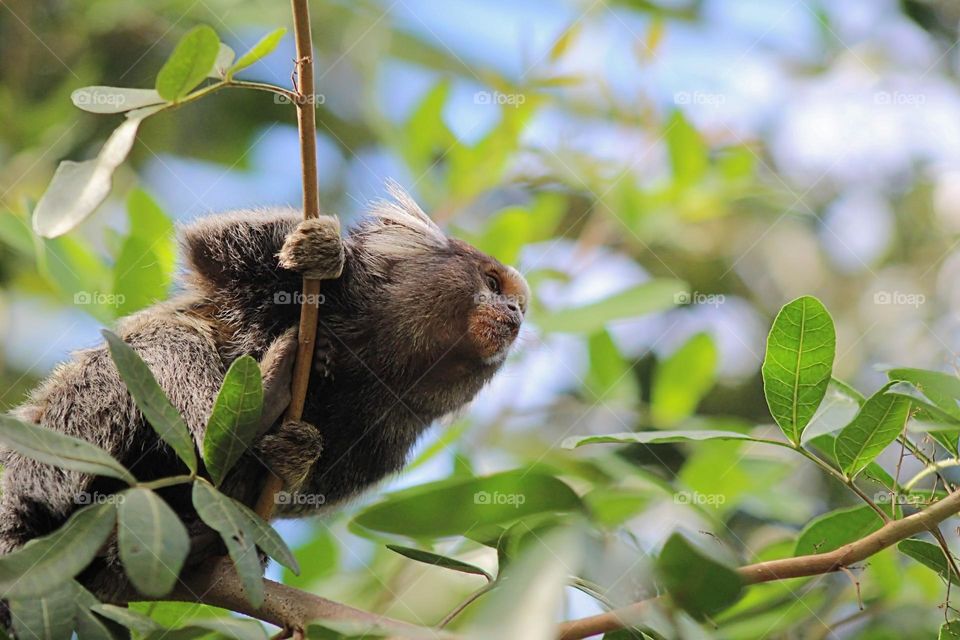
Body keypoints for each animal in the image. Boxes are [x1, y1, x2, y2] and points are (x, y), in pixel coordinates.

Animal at [0, 182, 529, 605]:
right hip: (64, 431)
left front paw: (291, 460)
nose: (514, 315)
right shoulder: (289, 274)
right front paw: (325, 252)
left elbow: (305, 493)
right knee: (169, 341)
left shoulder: (389, 435)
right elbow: (214, 246)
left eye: (517, 305)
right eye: (491, 282)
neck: (367, 355)